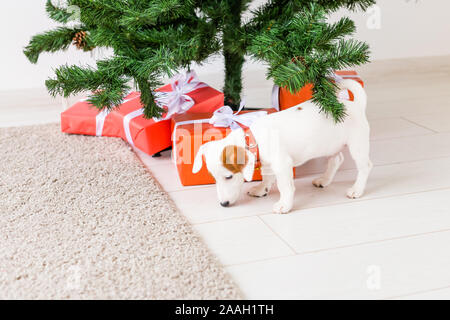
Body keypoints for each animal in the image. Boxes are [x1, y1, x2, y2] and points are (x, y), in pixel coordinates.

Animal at [192, 79, 370, 215]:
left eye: (229, 177)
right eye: (214, 177)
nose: (223, 204)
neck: (256, 138)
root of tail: (355, 104)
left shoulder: (283, 165)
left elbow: (285, 187)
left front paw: (284, 205)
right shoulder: (268, 164)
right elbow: (267, 178)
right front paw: (261, 189)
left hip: (357, 145)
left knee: (365, 167)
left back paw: (357, 189)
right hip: (329, 145)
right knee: (336, 160)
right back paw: (324, 180)